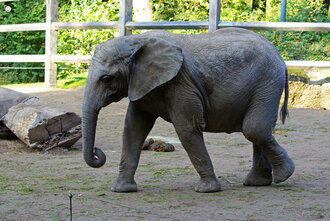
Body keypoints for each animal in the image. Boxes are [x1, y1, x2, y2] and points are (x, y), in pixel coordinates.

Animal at [82, 27, 294, 193]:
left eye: (106, 78)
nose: (97, 152)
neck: (136, 41)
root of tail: (281, 59)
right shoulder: (142, 85)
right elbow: (133, 129)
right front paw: (121, 189)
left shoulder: (180, 82)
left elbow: (186, 128)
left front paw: (207, 190)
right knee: (256, 130)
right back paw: (258, 183)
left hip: (267, 83)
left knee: (254, 129)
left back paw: (283, 176)